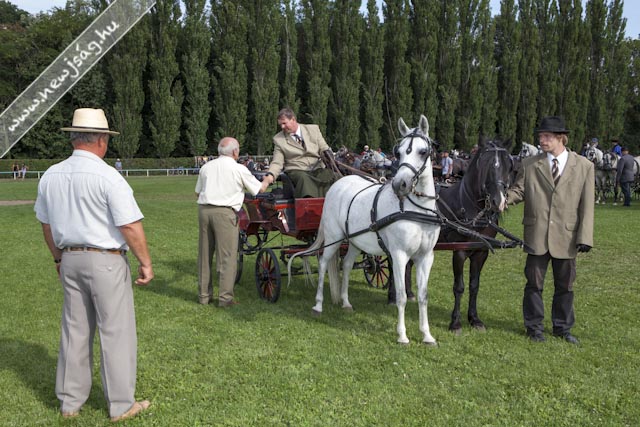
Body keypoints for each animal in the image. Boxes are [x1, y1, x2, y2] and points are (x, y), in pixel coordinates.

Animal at [288, 115, 441, 345]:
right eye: (398, 152)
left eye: (423, 152)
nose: (400, 184)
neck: (415, 210)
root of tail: (337, 184)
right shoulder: (399, 255)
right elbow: (402, 296)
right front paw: (402, 335)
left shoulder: (426, 256)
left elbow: (423, 296)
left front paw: (427, 335)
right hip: (333, 238)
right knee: (323, 264)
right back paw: (318, 305)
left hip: (353, 241)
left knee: (347, 265)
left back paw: (345, 302)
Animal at [389, 138, 514, 334]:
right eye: (486, 165)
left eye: (509, 166)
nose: (498, 201)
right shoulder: (459, 251)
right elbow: (459, 287)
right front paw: (455, 322)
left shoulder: (481, 252)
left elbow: (474, 285)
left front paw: (474, 319)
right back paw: (392, 296)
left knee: (407, 265)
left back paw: (408, 294)